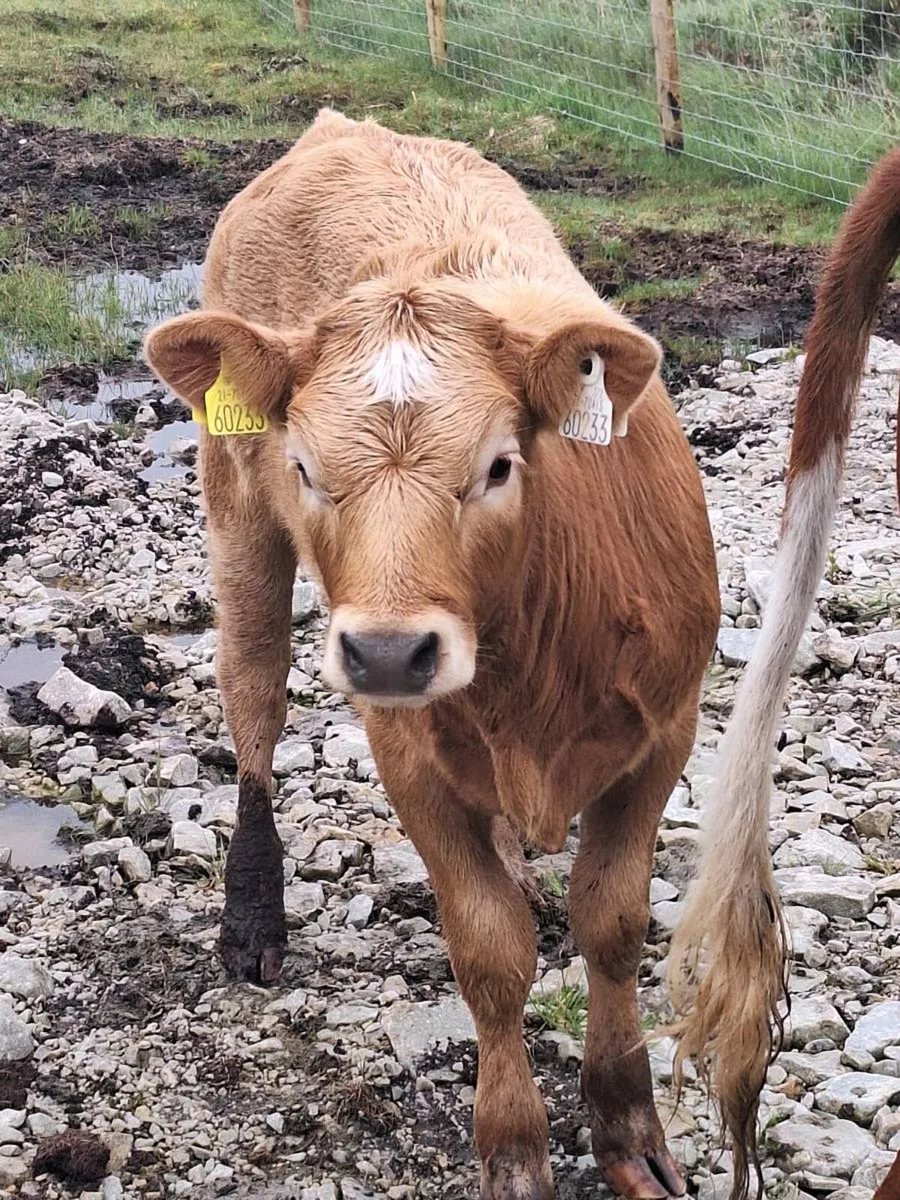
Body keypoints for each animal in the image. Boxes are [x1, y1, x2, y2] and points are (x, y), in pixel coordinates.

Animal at [145, 106, 741, 1199]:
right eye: (306, 466)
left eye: (499, 465)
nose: (389, 652)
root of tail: (339, 127)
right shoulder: (407, 754)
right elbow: (489, 950)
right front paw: (513, 1147)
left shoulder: (665, 732)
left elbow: (614, 923)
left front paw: (628, 1126)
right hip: (236, 512)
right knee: (253, 698)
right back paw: (253, 919)